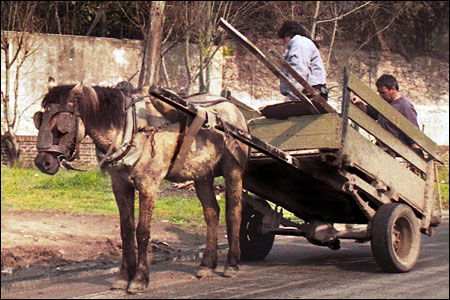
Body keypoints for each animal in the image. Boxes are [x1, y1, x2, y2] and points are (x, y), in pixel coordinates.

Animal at [33, 79, 248, 292]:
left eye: (62, 124)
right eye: (39, 120)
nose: (42, 162)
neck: (130, 129)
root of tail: (232, 107)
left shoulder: (148, 185)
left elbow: (142, 231)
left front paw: (139, 279)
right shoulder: (120, 186)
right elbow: (126, 230)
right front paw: (123, 277)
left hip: (233, 169)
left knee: (234, 211)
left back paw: (232, 264)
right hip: (202, 173)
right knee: (212, 212)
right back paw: (207, 265)